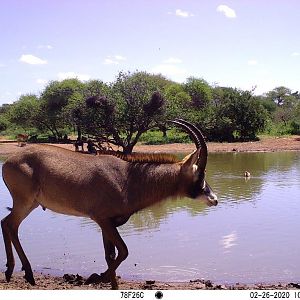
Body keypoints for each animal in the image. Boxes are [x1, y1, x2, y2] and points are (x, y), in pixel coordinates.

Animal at [1, 118, 218, 290]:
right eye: (200, 174)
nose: (214, 199)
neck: (129, 178)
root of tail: (8, 162)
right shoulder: (102, 219)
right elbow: (123, 252)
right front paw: (95, 278)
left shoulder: (108, 224)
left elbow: (111, 255)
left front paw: (109, 283)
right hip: (24, 202)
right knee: (10, 224)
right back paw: (25, 273)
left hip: (30, 204)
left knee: (8, 223)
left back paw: (16, 272)